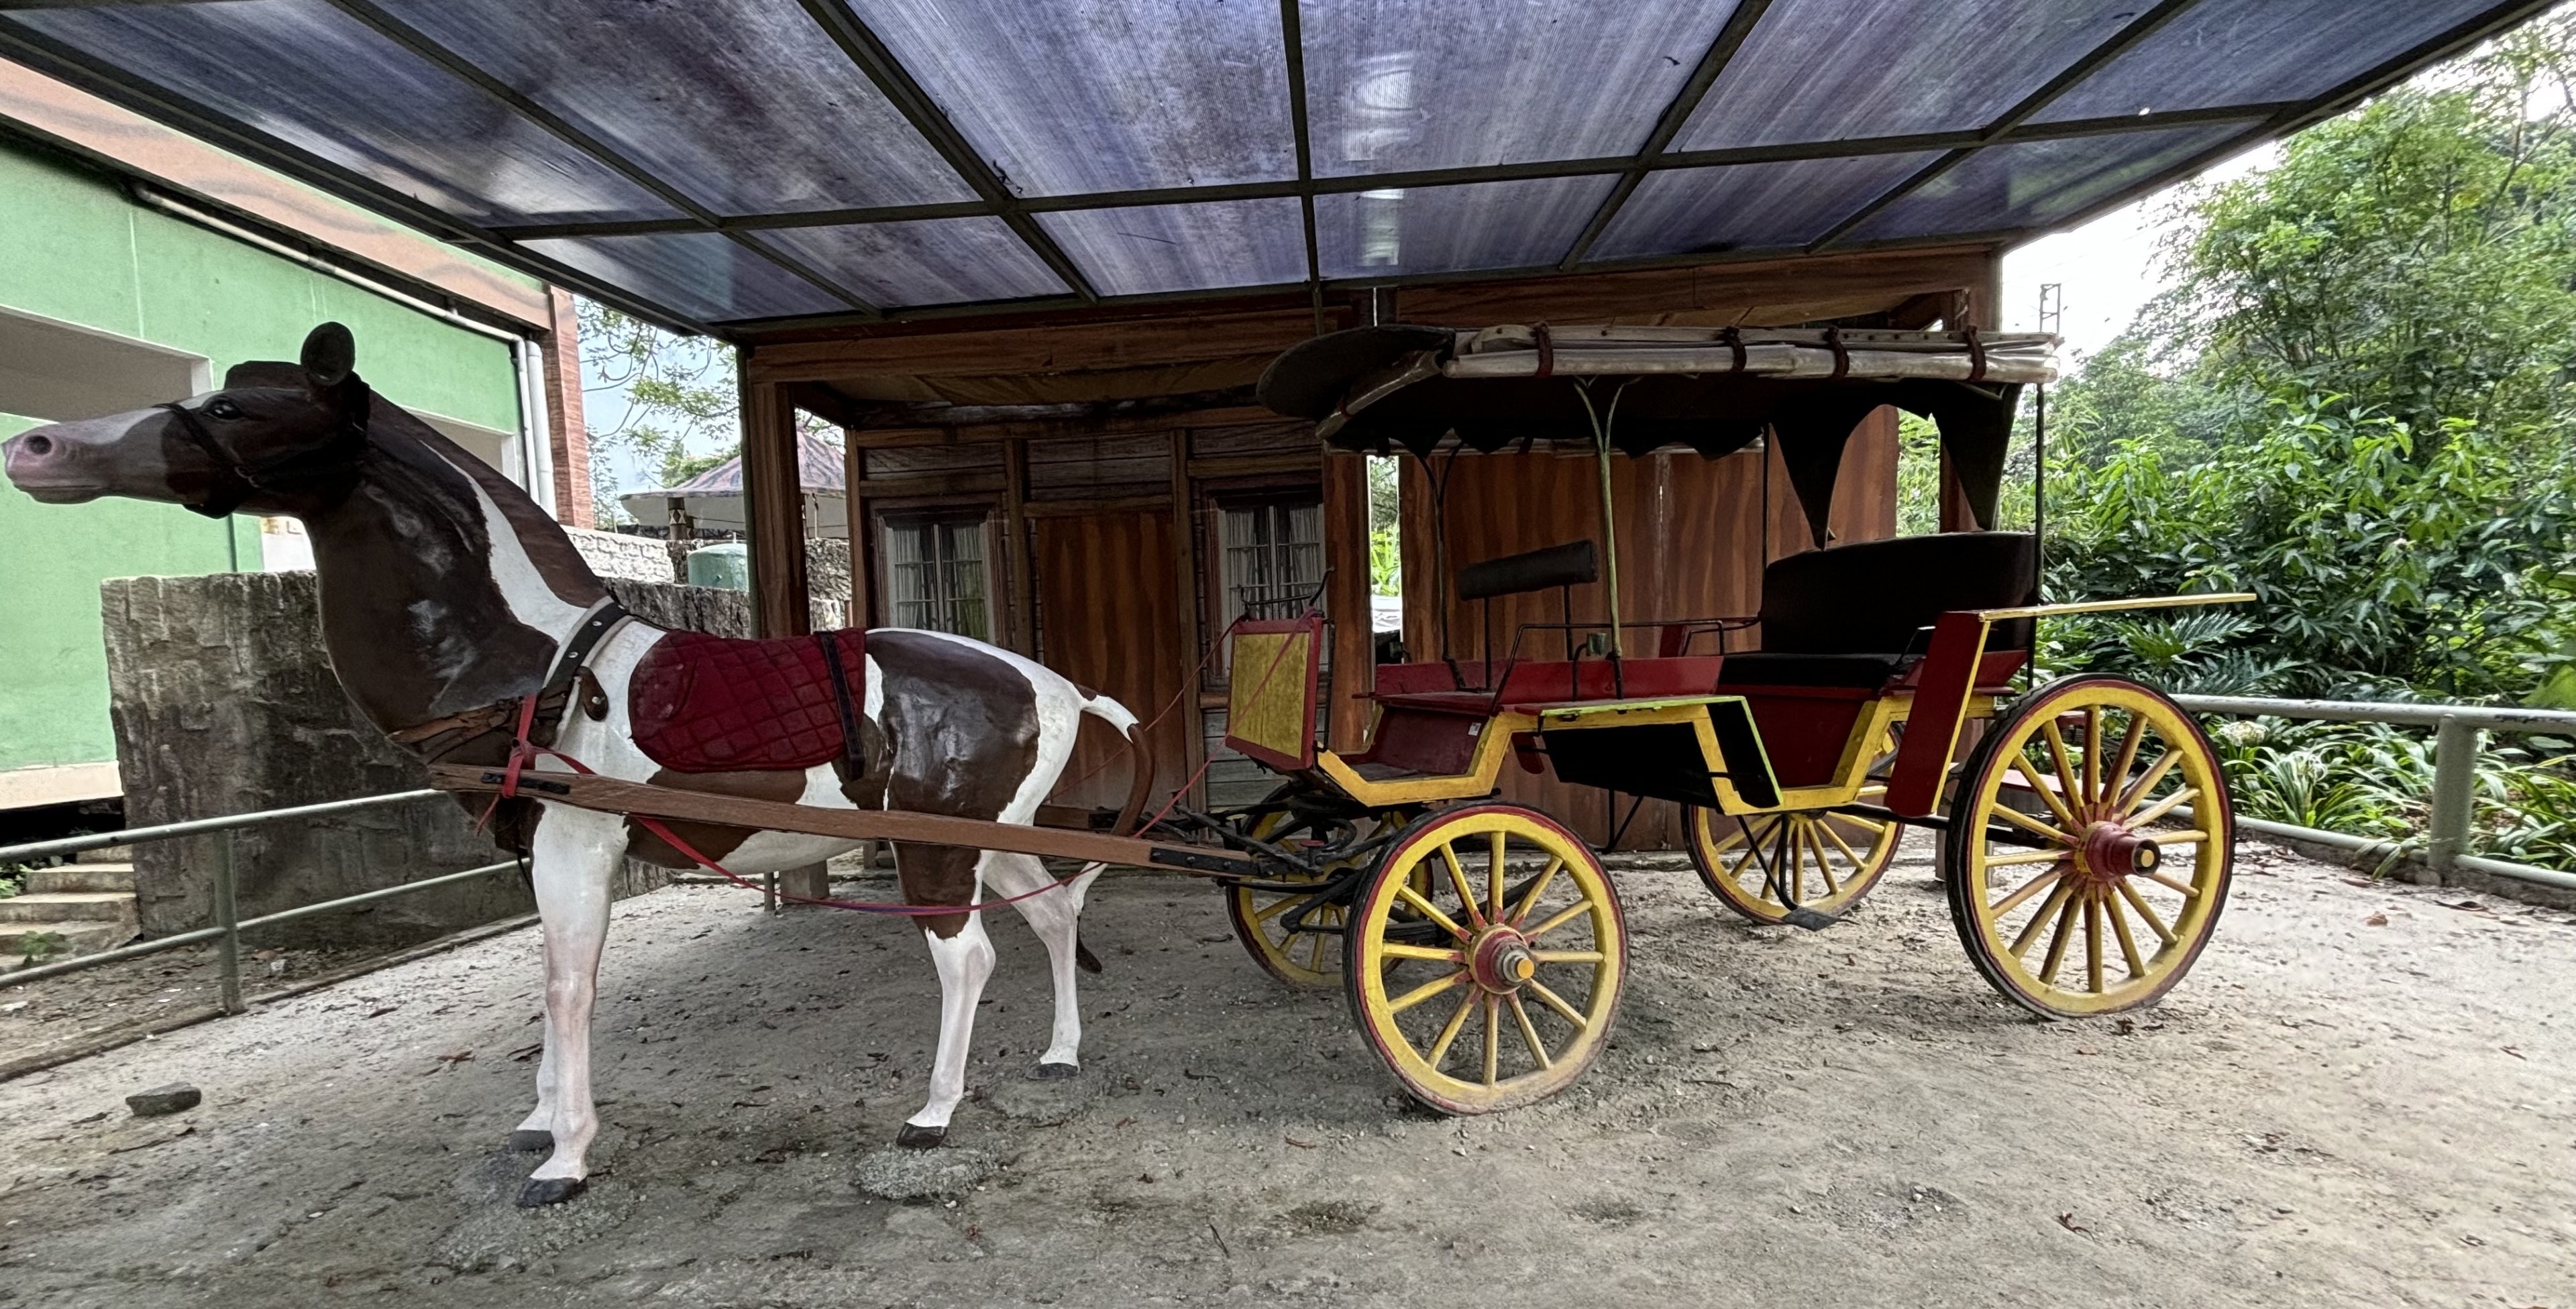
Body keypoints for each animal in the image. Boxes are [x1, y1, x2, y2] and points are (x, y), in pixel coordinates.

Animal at [2, 322, 1146, 1207]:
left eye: (240, 408)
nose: (37, 444)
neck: (532, 662)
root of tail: (1054, 683)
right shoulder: (530, 849)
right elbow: (545, 982)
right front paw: (540, 1116)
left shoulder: (577, 844)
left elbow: (568, 986)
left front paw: (565, 1157)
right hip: (983, 837)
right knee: (1051, 916)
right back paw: (1060, 1052)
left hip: (937, 851)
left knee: (970, 959)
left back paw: (936, 1110)